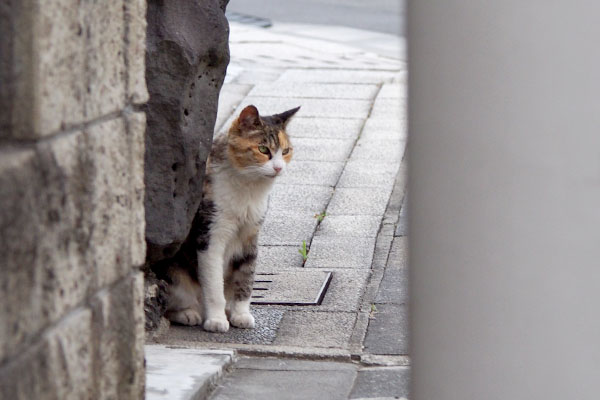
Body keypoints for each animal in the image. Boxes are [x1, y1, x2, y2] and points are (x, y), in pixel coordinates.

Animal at [162, 104, 300, 332]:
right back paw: (189, 314)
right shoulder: (210, 235)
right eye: (263, 149)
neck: (248, 189)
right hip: (175, 276)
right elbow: (214, 285)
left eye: (286, 151)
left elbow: (246, 279)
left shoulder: (250, 237)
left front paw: (241, 315)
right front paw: (217, 320)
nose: (279, 167)